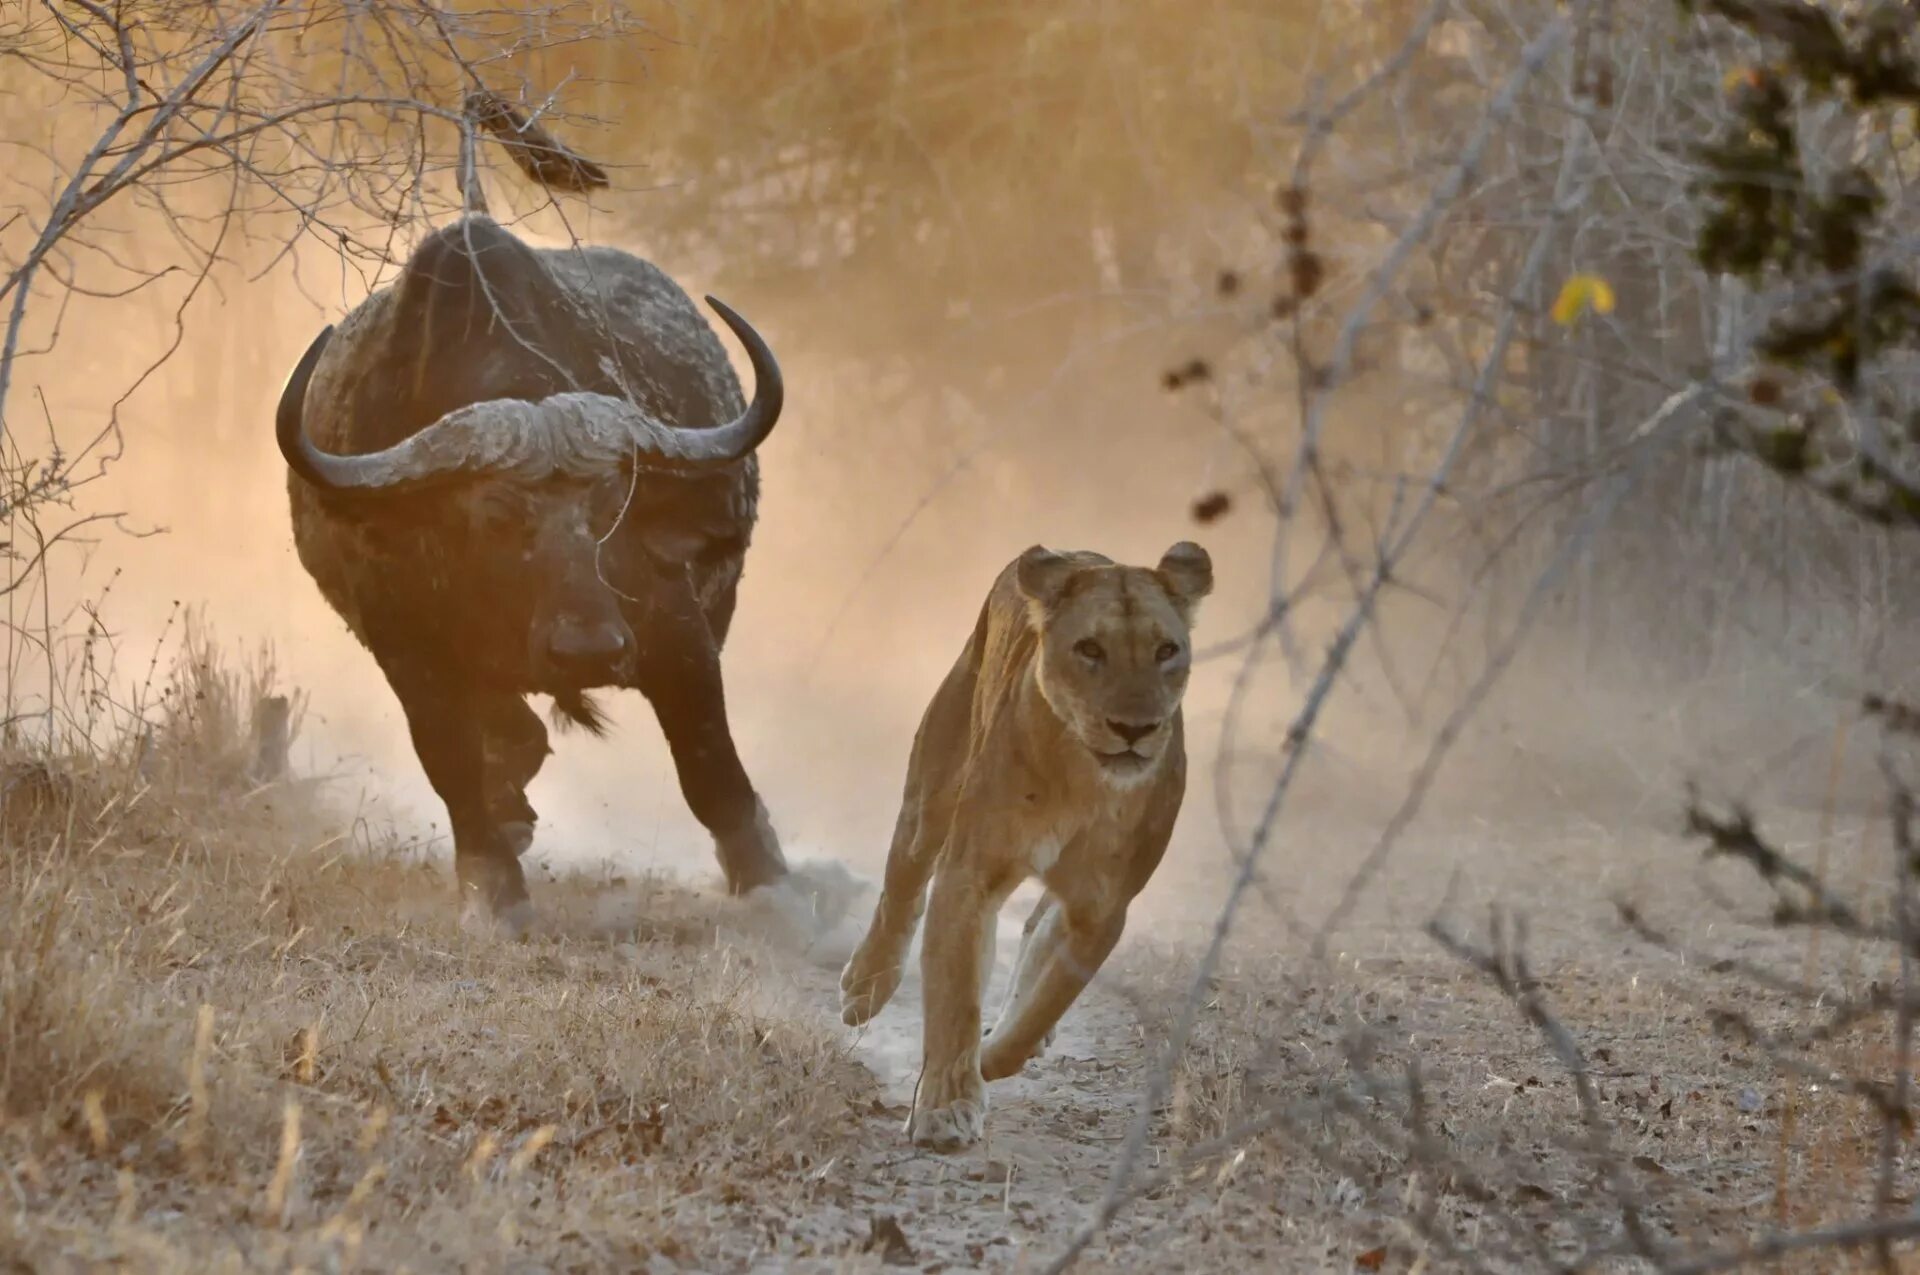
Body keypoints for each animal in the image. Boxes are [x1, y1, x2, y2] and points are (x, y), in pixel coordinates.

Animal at [270, 99, 787, 933]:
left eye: (611, 505)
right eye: (494, 514)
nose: (588, 648)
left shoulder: (673, 622)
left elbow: (709, 762)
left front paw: (772, 880)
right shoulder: (403, 641)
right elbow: (451, 759)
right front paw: (493, 884)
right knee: (509, 732)